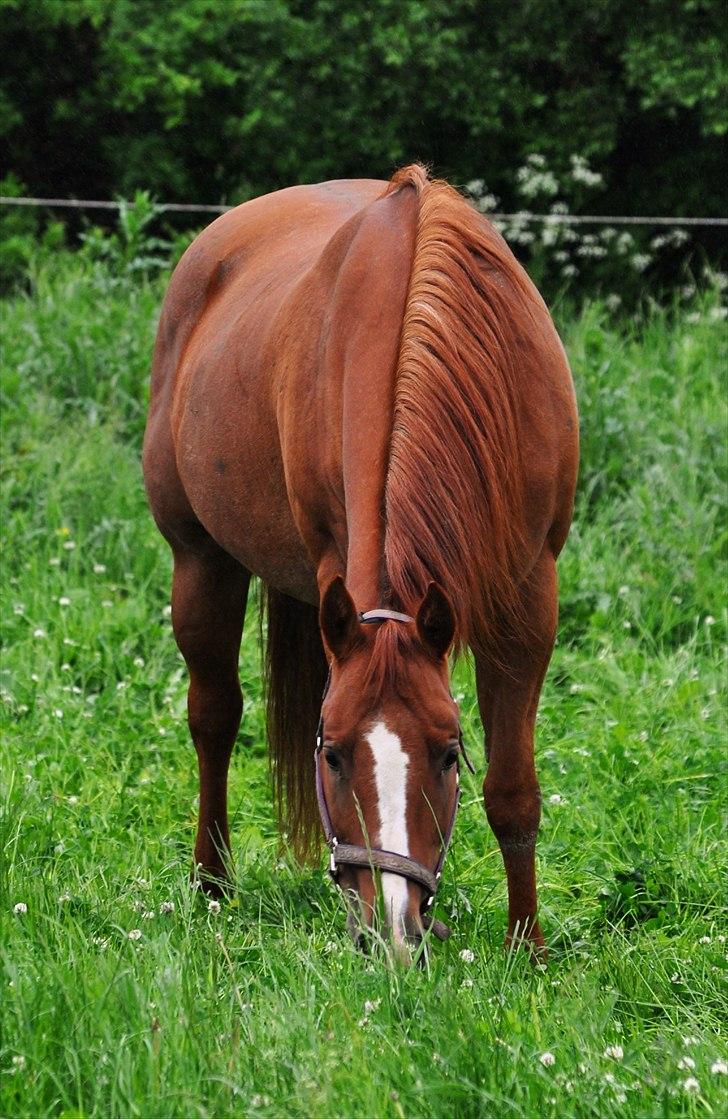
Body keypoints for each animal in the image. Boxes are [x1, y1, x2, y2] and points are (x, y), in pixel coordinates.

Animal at [142, 162, 577, 957]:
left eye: (446, 751)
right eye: (334, 753)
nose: (396, 929)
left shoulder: (530, 594)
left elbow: (513, 788)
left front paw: (526, 947)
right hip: (200, 559)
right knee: (214, 715)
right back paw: (212, 883)